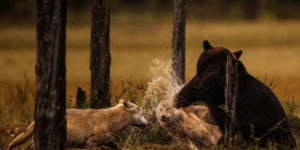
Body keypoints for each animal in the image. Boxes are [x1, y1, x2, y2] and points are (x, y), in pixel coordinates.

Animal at [8, 99, 149, 150]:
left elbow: (116, 146)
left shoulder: (106, 141)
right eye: (142, 113)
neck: (110, 120)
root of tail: (34, 121)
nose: (148, 123)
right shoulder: (90, 143)